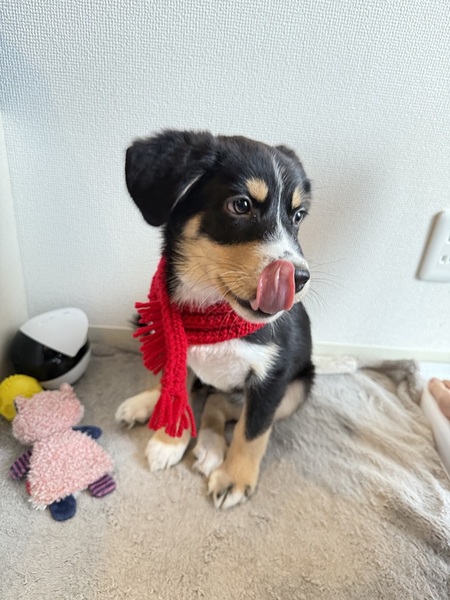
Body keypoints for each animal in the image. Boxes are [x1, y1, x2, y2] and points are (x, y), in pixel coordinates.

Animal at [115, 130, 314, 509]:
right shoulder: (177, 345)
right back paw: (145, 404)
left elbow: (252, 432)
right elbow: (175, 387)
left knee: (222, 404)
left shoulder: (273, 377)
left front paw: (234, 479)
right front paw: (169, 440)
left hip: (299, 387)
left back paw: (210, 447)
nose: (298, 279)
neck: (212, 308)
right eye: (241, 205)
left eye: (298, 216)